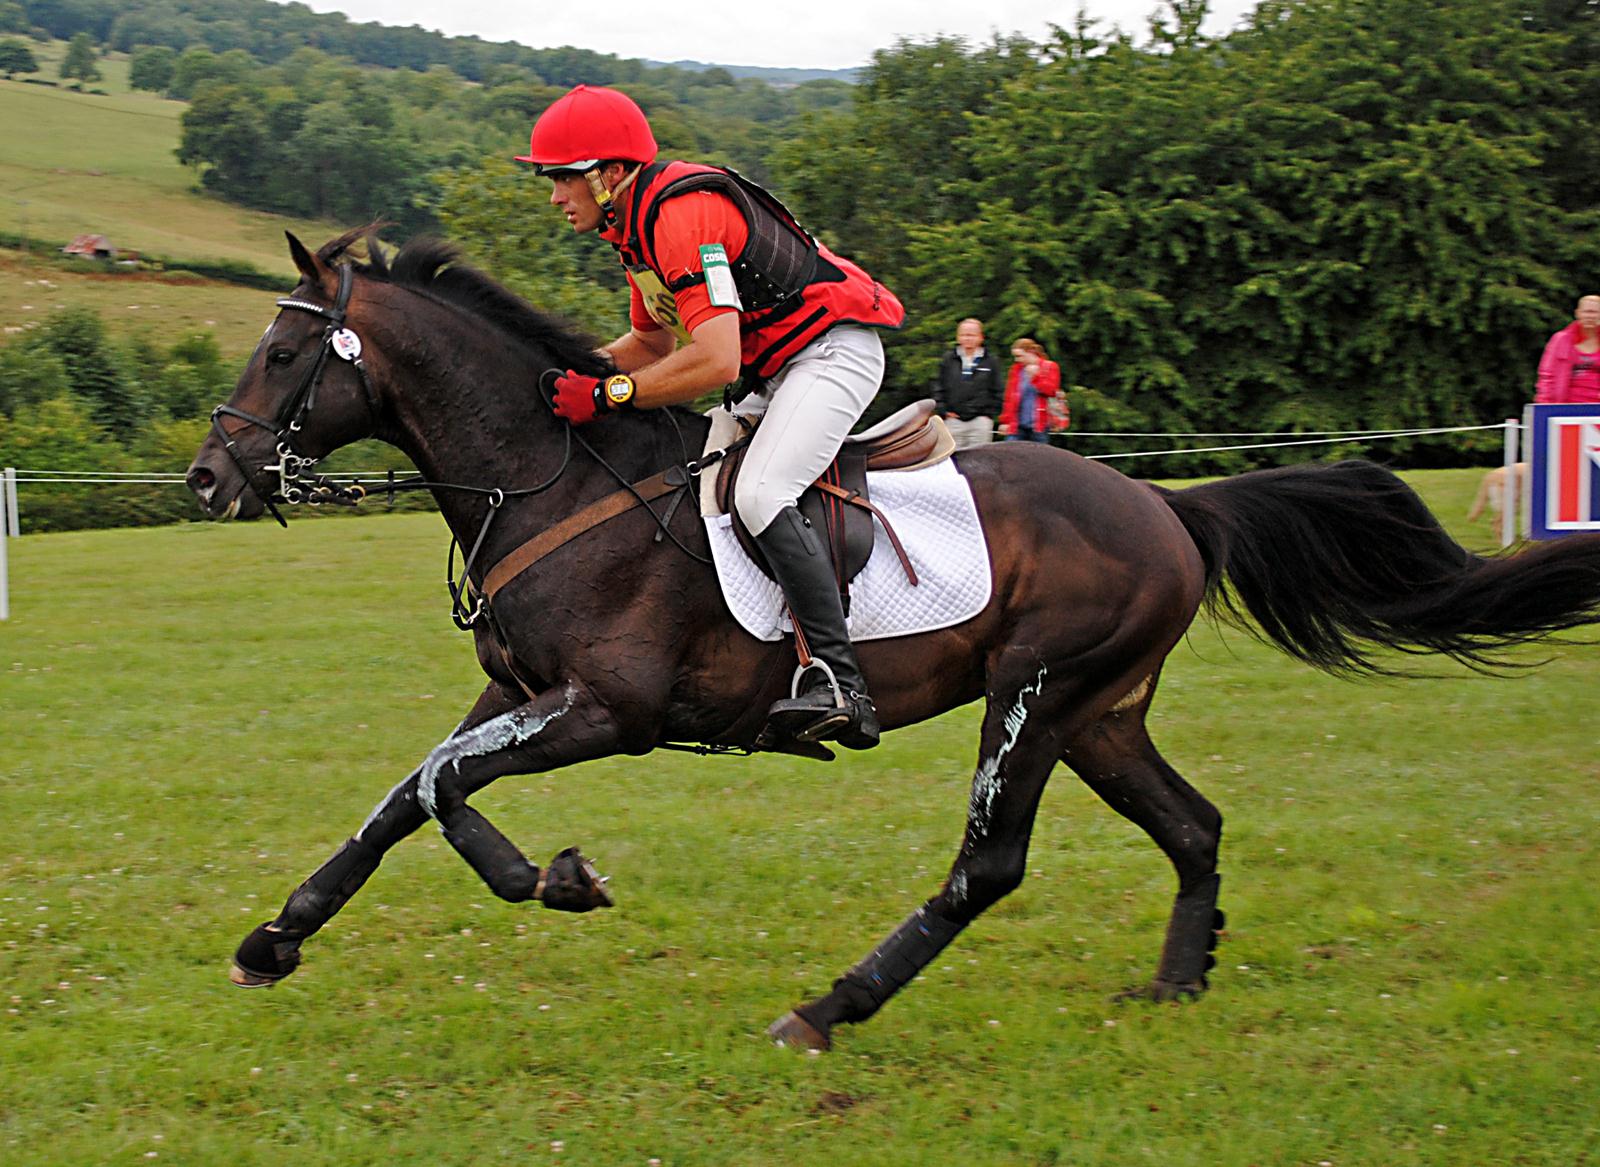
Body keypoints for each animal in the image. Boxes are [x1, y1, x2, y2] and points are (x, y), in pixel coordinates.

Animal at [186, 228, 1600, 1052]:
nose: (207, 479)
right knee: (1192, 828)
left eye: (282, 355)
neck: (555, 479)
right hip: (1101, 711)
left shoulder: (605, 712)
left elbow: (441, 791)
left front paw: (557, 878)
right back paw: (1177, 986)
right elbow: (402, 796)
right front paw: (274, 942)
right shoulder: (519, 695)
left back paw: (831, 1007)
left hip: (1035, 697)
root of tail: (1170, 507)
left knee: (988, 867)